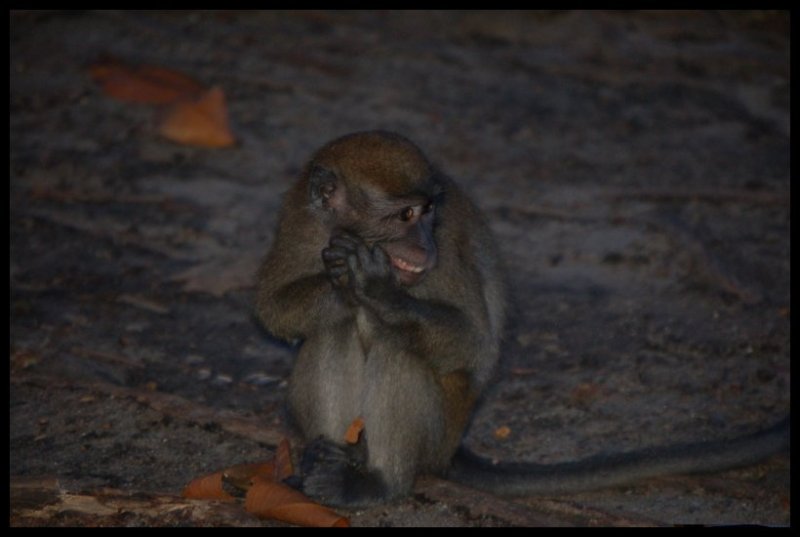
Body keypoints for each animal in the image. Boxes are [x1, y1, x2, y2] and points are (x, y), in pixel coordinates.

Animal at [255, 130, 789, 508]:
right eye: (404, 216)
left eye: (427, 213)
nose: (424, 243)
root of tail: (452, 445)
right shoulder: (298, 217)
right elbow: (272, 308)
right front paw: (341, 281)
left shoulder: (445, 251)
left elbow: (471, 340)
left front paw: (373, 288)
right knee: (336, 329)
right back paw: (329, 457)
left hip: (440, 428)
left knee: (394, 343)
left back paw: (380, 481)